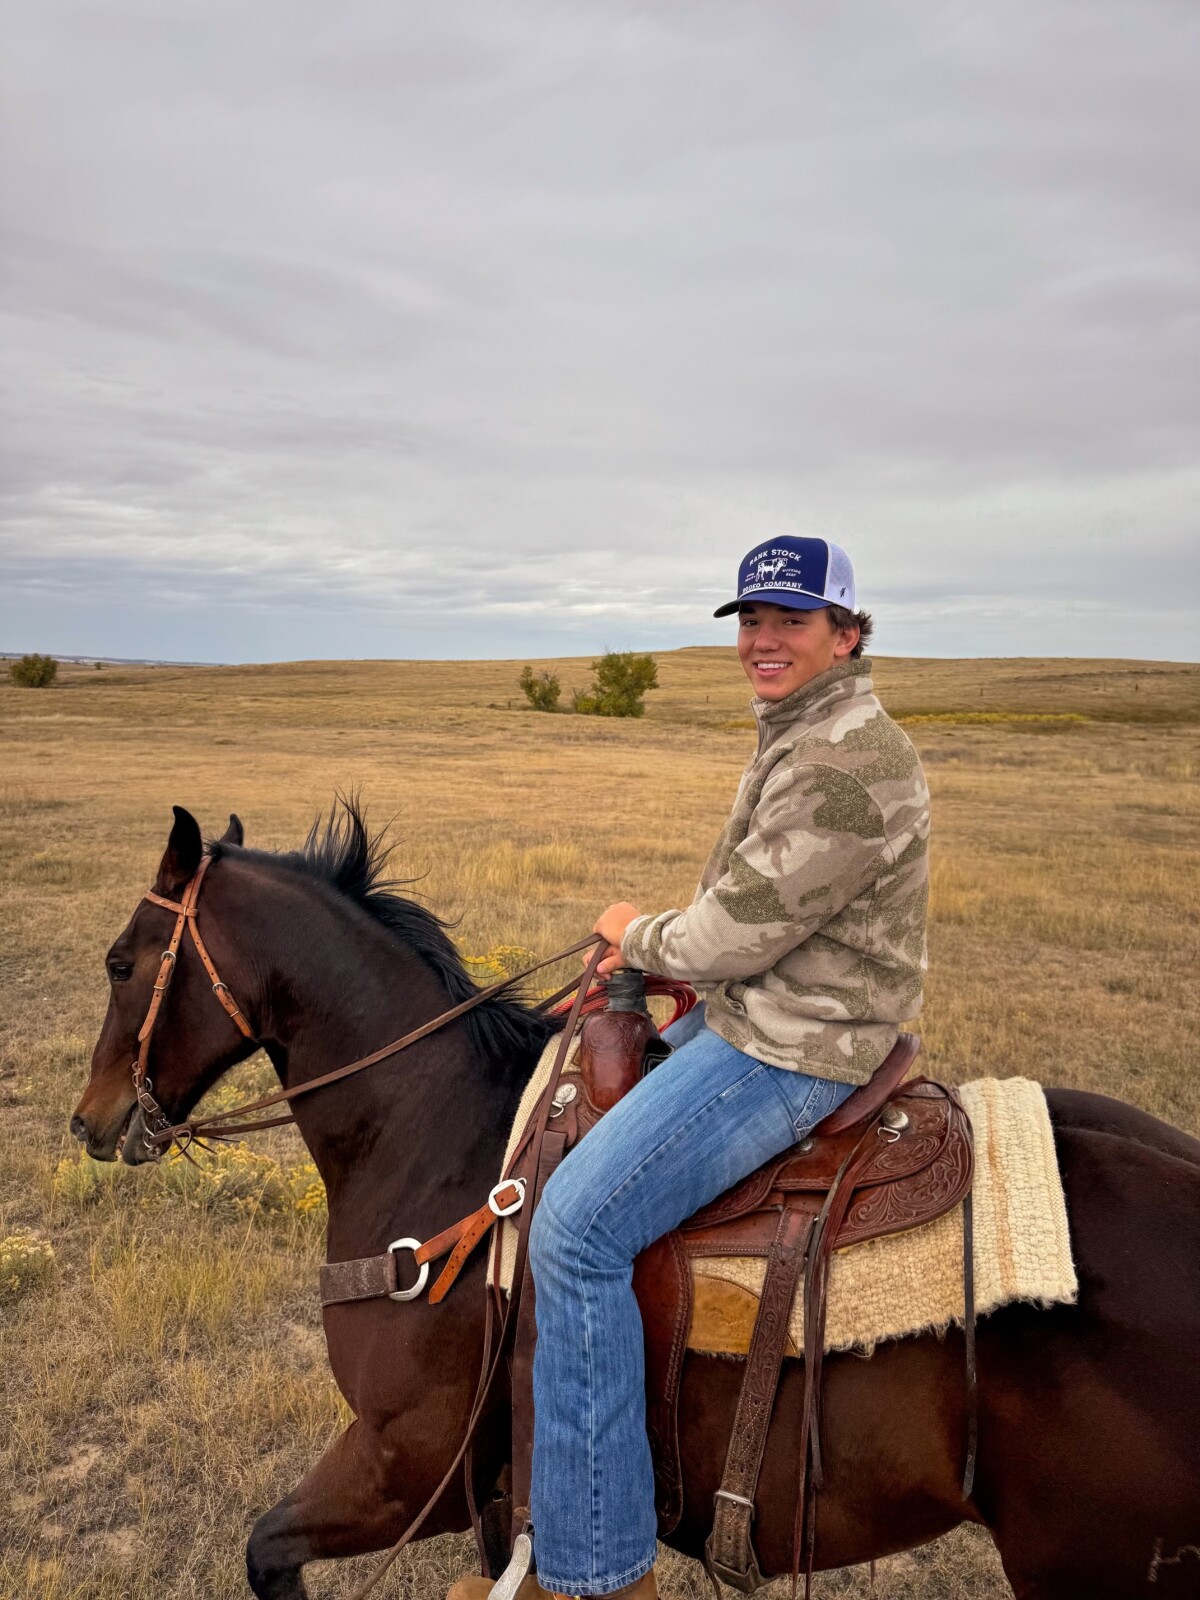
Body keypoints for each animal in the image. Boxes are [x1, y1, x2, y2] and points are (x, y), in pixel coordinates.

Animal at [70, 802, 1200, 1600]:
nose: (91, 1120)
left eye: (122, 961)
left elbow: (267, 1551)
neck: (443, 1139)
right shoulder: (479, 1495)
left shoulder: (405, 1463)